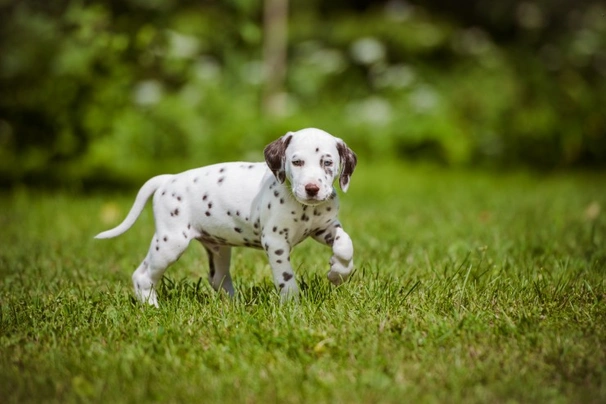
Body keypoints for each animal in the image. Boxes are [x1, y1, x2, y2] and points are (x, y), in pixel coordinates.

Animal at [97, 128, 358, 304]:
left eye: (327, 162)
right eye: (297, 162)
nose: (312, 188)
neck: (305, 208)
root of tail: (168, 179)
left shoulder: (325, 228)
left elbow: (346, 244)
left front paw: (338, 272)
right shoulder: (275, 242)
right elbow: (285, 277)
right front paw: (292, 304)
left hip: (218, 248)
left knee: (217, 278)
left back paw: (235, 305)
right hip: (170, 243)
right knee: (143, 275)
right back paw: (152, 308)